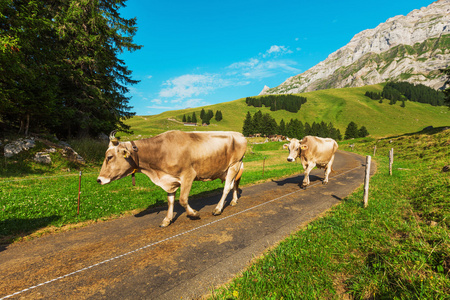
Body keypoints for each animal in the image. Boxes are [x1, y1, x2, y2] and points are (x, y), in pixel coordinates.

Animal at [96, 130, 248, 226]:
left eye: (109, 157)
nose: (99, 179)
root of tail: (239, 134)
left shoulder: (188, 175)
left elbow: (182, 200)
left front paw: (194, 214)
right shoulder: (170, 181)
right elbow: (170, 201)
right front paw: (167, 220)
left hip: (234, 164)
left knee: (227, 187)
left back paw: (218, 208)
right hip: (232, 168)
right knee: (234, 184)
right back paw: (233, 201)